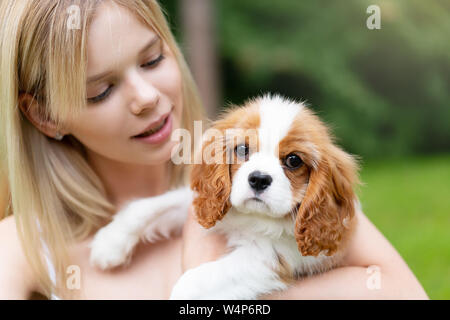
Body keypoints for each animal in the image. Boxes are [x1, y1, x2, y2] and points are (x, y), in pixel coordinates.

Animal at [89, 94, 360, 298]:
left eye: (293, 160)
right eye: (242, 149)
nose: (259, 179)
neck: (252, 217)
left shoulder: (269, 257)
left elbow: (195, 279)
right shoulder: (206, 201)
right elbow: (153, 205)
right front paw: (110, 240)